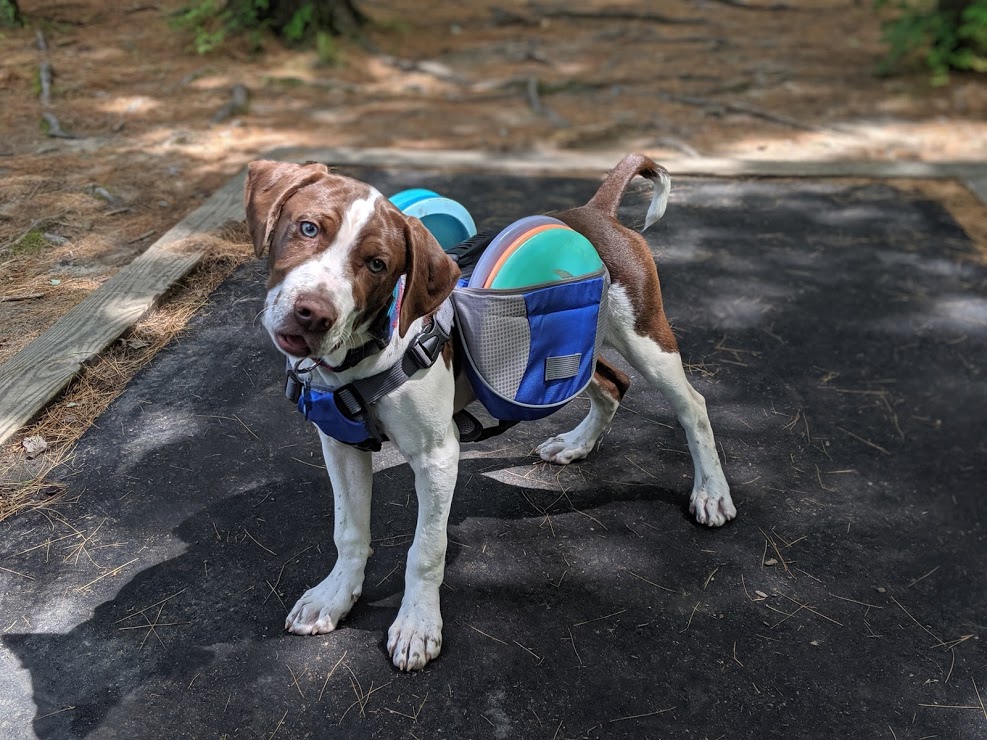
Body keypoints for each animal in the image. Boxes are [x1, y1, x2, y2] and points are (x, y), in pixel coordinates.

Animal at [244, 156, 736, 672]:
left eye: (377, 264)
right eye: (307, 228)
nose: (312, 313)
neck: (365, 354)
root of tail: (594, 212)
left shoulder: (438, 456)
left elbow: (426, 549)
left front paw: (417, 625)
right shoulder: (341, 446)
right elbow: (348, 531)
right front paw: (334, 597)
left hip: (646, 337)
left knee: (692, 406)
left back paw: (711, 493)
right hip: (581, 344)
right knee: (612, 384)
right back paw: (576, 444)